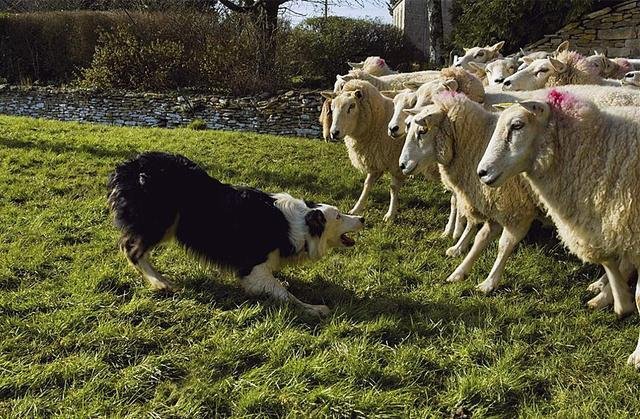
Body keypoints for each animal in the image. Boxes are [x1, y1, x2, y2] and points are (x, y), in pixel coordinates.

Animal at [107, 153, 362, 316]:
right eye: (338, 216)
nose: (363, 219)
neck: (299, 223)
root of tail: (128, 167)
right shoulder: (253, 269)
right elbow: (284, 292)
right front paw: (314, 308)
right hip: (161, 220)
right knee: (131, 248)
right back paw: (159, 282)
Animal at [322, 79, 408, 223]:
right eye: (332, 107)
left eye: (352, 106)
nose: (334, 133)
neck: (380, 120)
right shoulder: (374, 158)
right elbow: (367, 185)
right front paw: (356, 208)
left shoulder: (396, 162)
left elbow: (393, 188)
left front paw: (390, 215)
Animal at [400, 90, 540, 294]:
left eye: (423, 131)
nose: (402, 165)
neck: (477, 142)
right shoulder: (492, 201)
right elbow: (479, 236)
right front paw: (459, 263)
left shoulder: (517, 210)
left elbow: (504, 245)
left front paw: (490, 282)